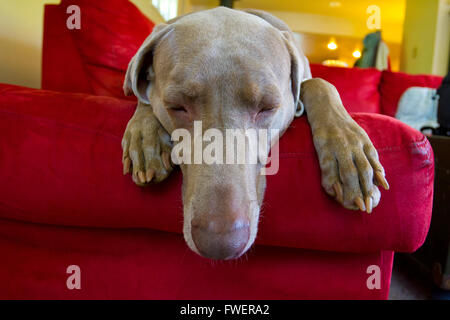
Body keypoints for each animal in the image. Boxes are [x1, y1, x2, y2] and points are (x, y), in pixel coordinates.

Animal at [121, 7, 388, 260]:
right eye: (177, 106)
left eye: (267, 107)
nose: (220, 244)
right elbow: (141, 93)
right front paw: (146, 138)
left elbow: (320, 84)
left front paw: (349, 157)